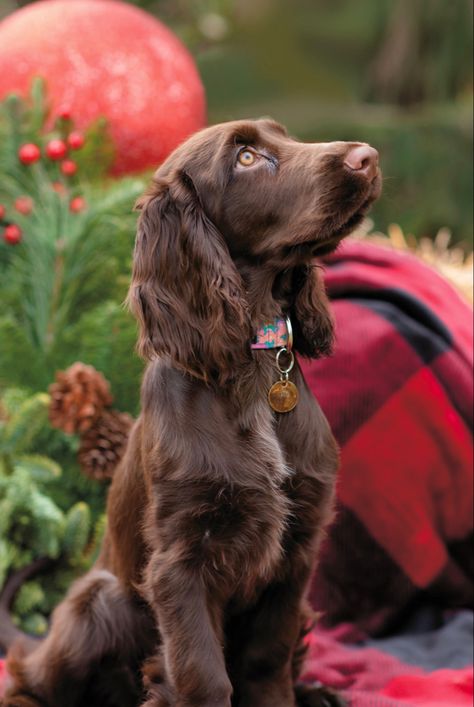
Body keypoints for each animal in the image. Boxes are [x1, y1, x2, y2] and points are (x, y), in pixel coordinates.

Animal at [2, 121, 382, 707]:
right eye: (246, 157)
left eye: (286, 137)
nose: (369, 157)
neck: (254, 359)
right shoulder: (180, 561)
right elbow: (202, 674)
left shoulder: (297, 551)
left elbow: (267, 660)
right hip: (99, 604)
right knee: (31, 676)